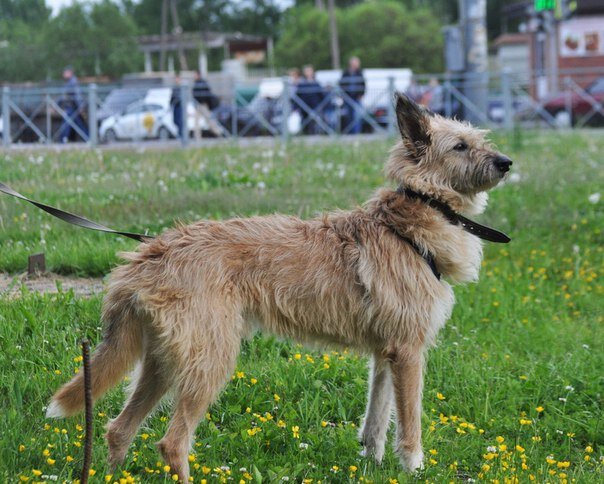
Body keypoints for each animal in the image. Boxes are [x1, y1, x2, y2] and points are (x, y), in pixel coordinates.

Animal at [46, 94, 516, 480]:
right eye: (459, 146)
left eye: (480, 139)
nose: (506, 162)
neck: (417, 216)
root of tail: (150, 254)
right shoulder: (409, 352)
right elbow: (409, 423)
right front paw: (414, 467)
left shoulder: (387, 353)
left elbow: (376, 420)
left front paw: (372, 462)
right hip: (210, 361)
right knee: (171, 443)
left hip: (162, 363)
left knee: (118, 429)